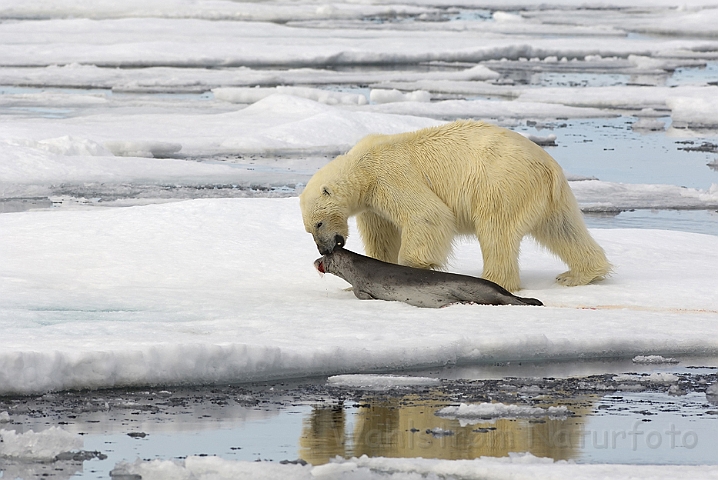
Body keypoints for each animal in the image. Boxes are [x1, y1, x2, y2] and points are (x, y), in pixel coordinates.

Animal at [300, 121, 612, 292]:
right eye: (309, 230)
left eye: (318, 223)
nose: (324, 249)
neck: (361, 167)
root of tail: (548, 166)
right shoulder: (372, 202)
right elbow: (383, 234)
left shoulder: (390, 176)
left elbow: (428, 215)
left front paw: (413, 268)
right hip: (550, 197)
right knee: (563, 228)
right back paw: (578, 275)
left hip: (501, 183)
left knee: (496, 231)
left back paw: (496, 280)